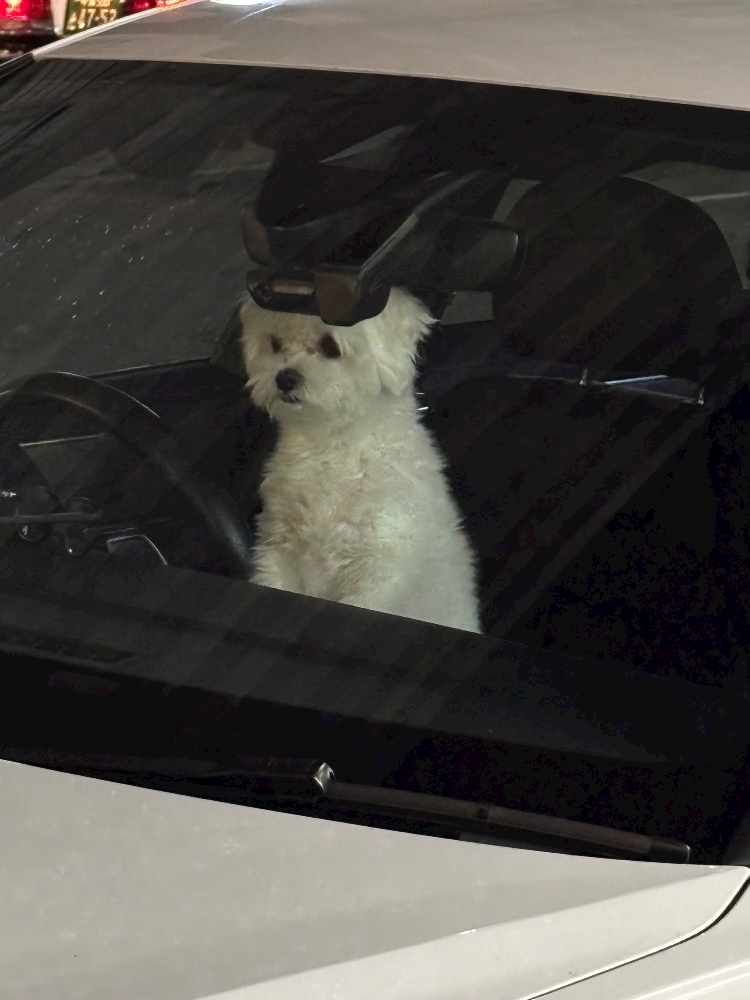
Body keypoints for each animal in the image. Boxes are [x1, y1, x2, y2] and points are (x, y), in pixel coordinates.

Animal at [239, 286, 481, 632]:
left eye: (330, 347)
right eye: (275, 343)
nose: (284, 378)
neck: (334, 444)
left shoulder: (379, 568)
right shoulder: (278, 546)